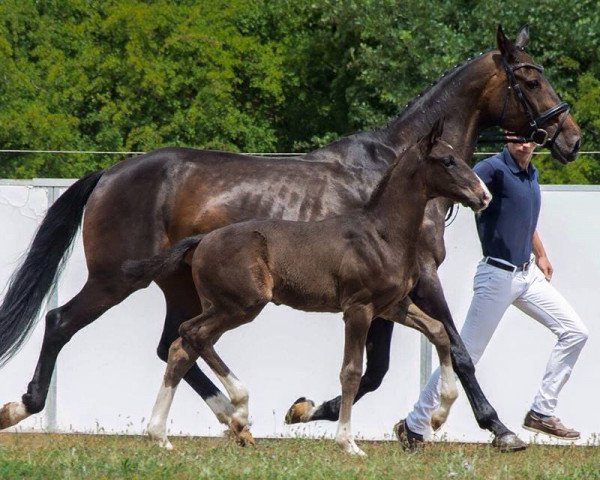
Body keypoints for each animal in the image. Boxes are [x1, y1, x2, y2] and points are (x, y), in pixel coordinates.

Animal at [124, 121, 490, 454]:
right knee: (192, 335)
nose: (483, 196)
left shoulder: (392, 306)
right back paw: (238, 411)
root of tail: (201, 241)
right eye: (447, 160)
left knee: (182, 347)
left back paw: (161, 435)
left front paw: (439, 416)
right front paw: (348, 443)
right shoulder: (358, 309)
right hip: (240, 305)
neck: (382, 234)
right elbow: (351, 372)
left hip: (221, 306)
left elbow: (439, 332)